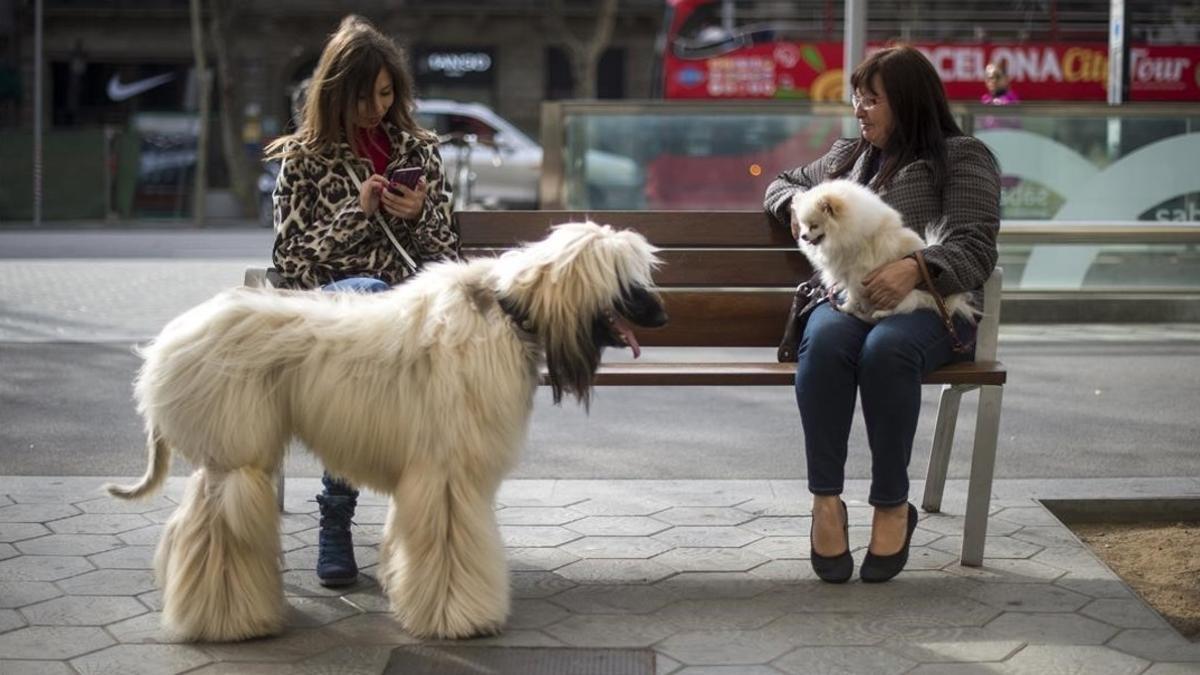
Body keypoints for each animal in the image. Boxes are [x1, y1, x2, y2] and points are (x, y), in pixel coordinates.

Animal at [787, 180, 974, 321]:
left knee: (903, 307)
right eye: (802, 225)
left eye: (814, 226)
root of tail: (939, 300)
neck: (844, 233)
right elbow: (849, 290)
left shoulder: (856, 273)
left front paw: (846, 307)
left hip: (905, 293)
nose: (803, 236)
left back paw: (879, 313)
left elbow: (853, 293)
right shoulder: (846, 271)